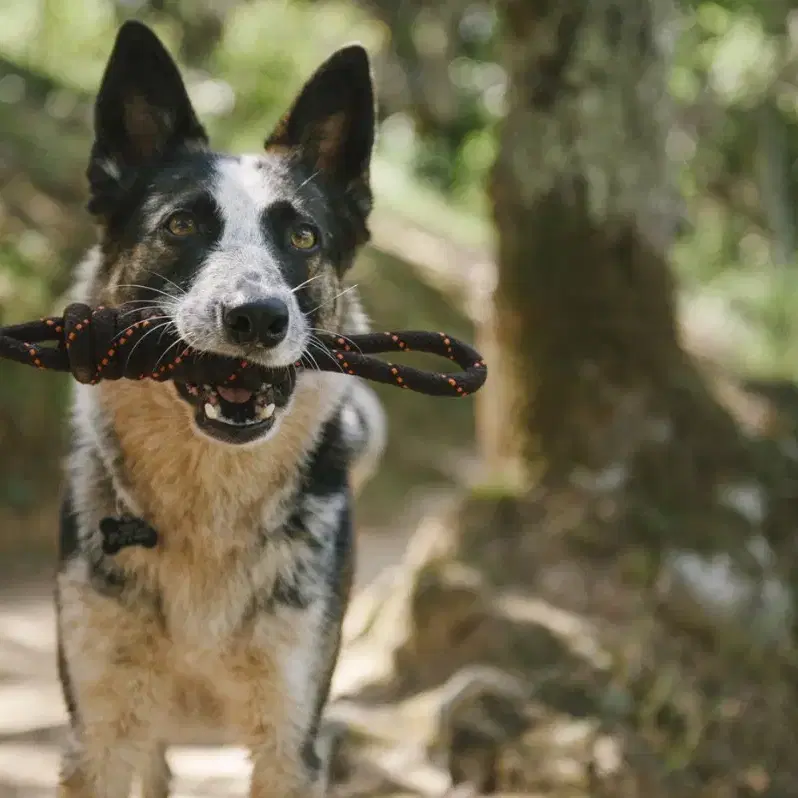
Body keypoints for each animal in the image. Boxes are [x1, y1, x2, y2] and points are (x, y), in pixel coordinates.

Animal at [54, 20, 386, 798]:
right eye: (180, 226)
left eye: (303, 237)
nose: (257, 317)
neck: (209, 509)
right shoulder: (101, 736)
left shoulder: (290, 743)